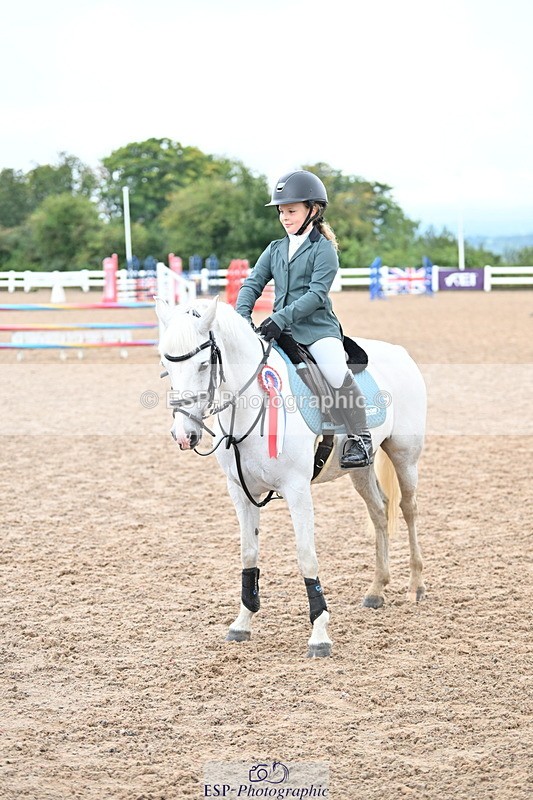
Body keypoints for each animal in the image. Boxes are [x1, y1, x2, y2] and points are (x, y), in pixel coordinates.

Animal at [156, 296, 427, 658]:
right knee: (380, 512)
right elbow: (249, 553)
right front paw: (242, 623)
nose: (184, 435)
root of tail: (399, 352)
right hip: (360, 469)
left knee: (409, 510)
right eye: (166, 365)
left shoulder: (297, 490)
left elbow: (306, 557)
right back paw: (376, 590)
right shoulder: (240, 492)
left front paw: (319, 635)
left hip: (404, 455)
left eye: (202, 365)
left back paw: (416, 585)